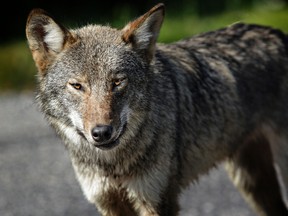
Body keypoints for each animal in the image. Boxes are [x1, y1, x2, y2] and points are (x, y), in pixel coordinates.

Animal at [25, 2, 288, 216]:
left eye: (118, 82)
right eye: (77, 86)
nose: (101, 133)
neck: (113, 166)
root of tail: (278, 33)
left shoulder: (157, 200)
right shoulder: (109, 202)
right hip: (250, 181)